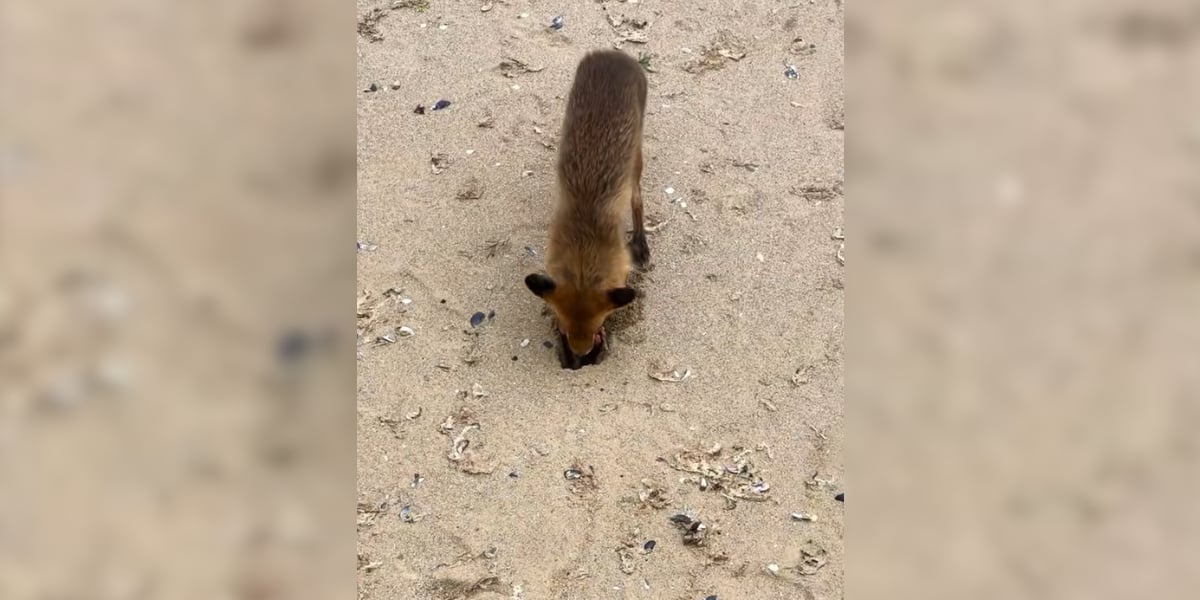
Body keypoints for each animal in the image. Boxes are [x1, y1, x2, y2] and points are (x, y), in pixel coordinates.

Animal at [524, 50, 650, 369]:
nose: (580, 357)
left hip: (636, 156)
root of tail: (614, 54)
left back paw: (641, 243)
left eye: (598, 327)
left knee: (637, 198)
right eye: (563, 328)